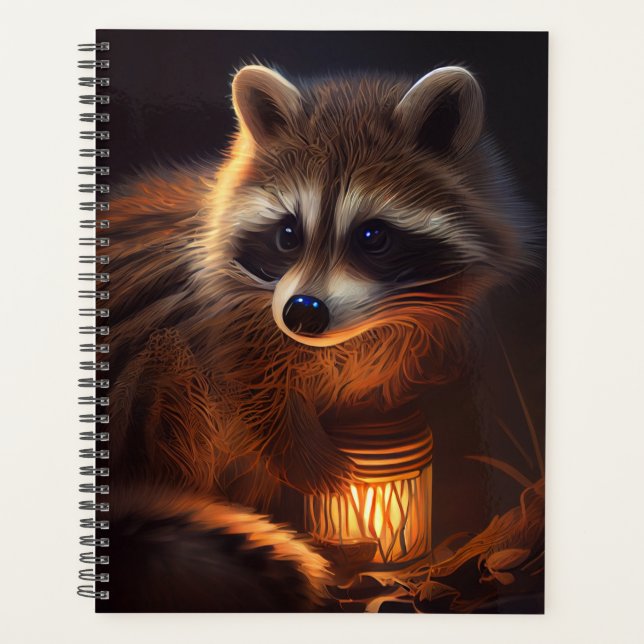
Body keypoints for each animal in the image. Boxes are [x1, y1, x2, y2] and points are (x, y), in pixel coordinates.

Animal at [104, 64, 539, 610]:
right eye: (288, 234)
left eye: (373, 236)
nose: (302, 313)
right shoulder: (220, 315)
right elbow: (249, 383)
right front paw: (311, 463)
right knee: (166, 366)